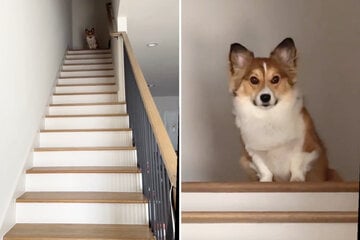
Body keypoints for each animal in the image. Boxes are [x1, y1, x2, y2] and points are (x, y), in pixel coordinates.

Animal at [229, 38, 328, 182]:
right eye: (254, 80)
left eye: (275, 79)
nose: (265, 97)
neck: (268, 116)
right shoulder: (252, 151)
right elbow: (263, 168)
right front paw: (265, 181)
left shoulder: (307, 145)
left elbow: (297, 162)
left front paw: (296, 179)